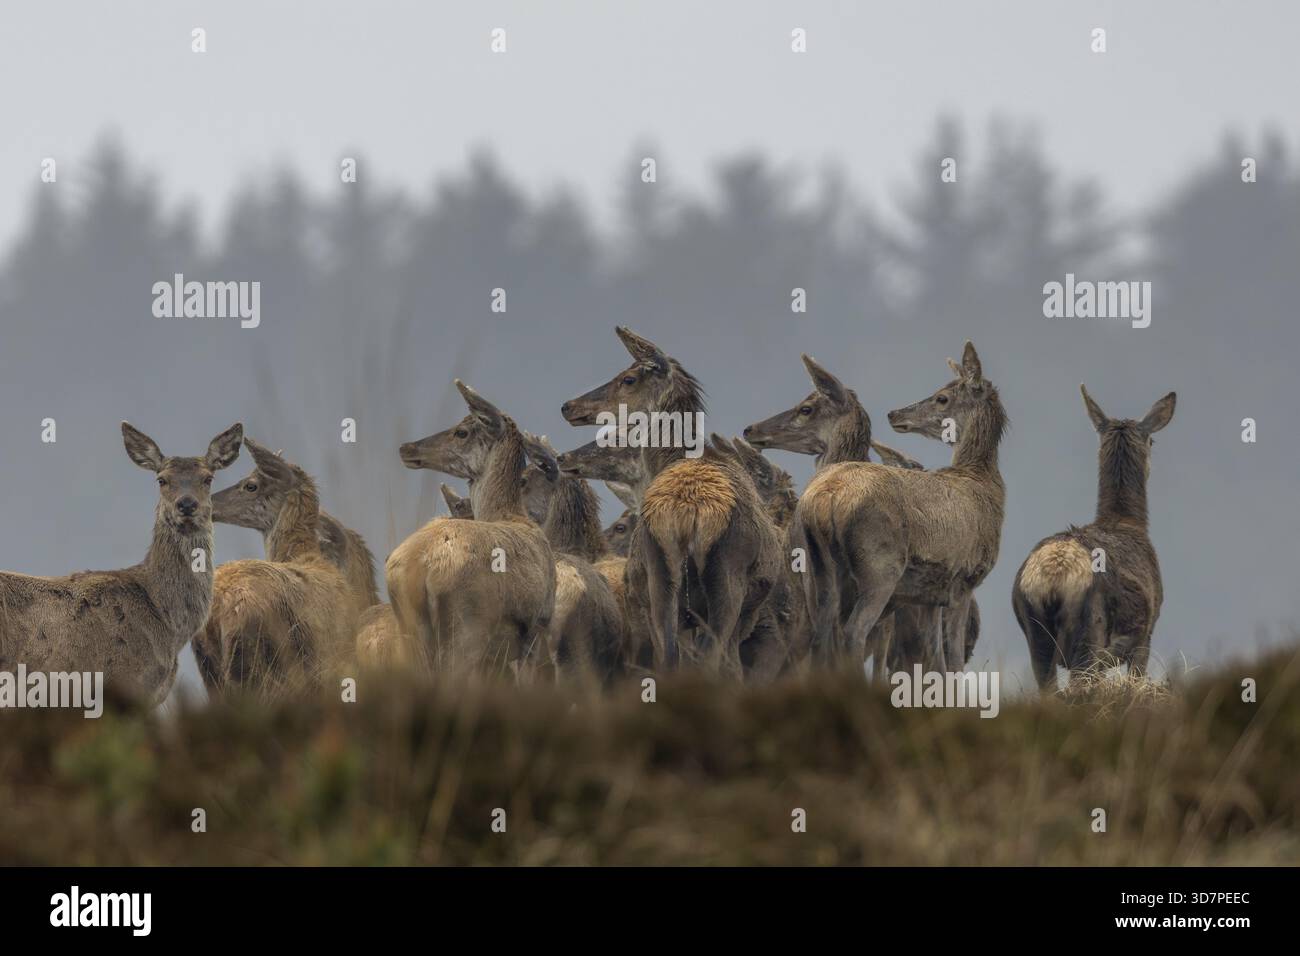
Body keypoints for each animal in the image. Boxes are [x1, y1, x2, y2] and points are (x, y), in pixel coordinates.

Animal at [385, 380, 556, 677]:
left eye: (461, 431)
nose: (407, 447)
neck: (513, 514)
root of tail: (421, 568)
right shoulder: (537, 627)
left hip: (410, 634)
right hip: (468, 628)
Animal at [560, 327, 781, 677]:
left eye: (628, 378)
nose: (568, 406)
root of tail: (689, 512)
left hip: (661, 578)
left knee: (672, 656)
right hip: (724, 581)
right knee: (710, 656)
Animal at [792, 342, 1006, 674]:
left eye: (942, 397)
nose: (894, 413)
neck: (984, 484)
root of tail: (826, 498)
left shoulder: (931, 594)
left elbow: (935, 661)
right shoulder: (965, 579)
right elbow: (954, 663)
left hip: (815, 567)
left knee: (822, 634)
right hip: (881, 565)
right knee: (853, 632)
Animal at [1012, 386, 1175, 690]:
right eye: (1153, 440)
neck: (1127, 523)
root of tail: (1052, 580)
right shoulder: (1147, 632)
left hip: (1035, 635)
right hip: (1091, 634)